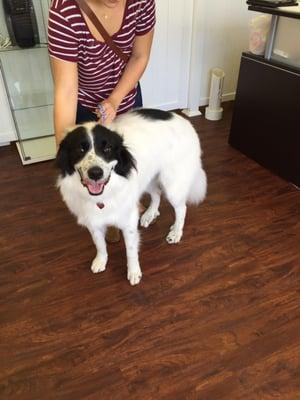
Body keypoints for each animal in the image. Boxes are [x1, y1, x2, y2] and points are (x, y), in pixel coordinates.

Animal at [56, 108, 206, 284]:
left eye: (107, 149)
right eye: (80, 150)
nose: (95, 173)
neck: (104, 194)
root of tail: (185, 121)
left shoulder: (128, 222)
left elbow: (131, 251)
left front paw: (134, 272)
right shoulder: (93, 221)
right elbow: (100, 245)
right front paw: (101, 261)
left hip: (173, 184)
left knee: (181, 208)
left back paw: (176, 232)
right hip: (147, 178)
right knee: (156, 194)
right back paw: (150, 214)